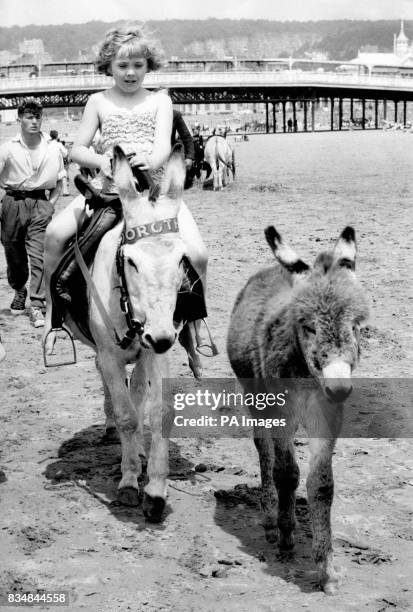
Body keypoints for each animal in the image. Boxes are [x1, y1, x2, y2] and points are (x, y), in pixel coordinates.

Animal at [227, 226, 368, 592]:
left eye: (356, 326)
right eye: (308, 326)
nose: (339, 388)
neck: (306, 374)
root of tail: (274, 269)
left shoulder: (327, 416)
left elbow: (321, 485)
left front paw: (326, 568)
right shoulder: (281, 412)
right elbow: (287, 472)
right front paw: (287, 537)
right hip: (255, 397)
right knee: (263, 450)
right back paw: (270, 519)